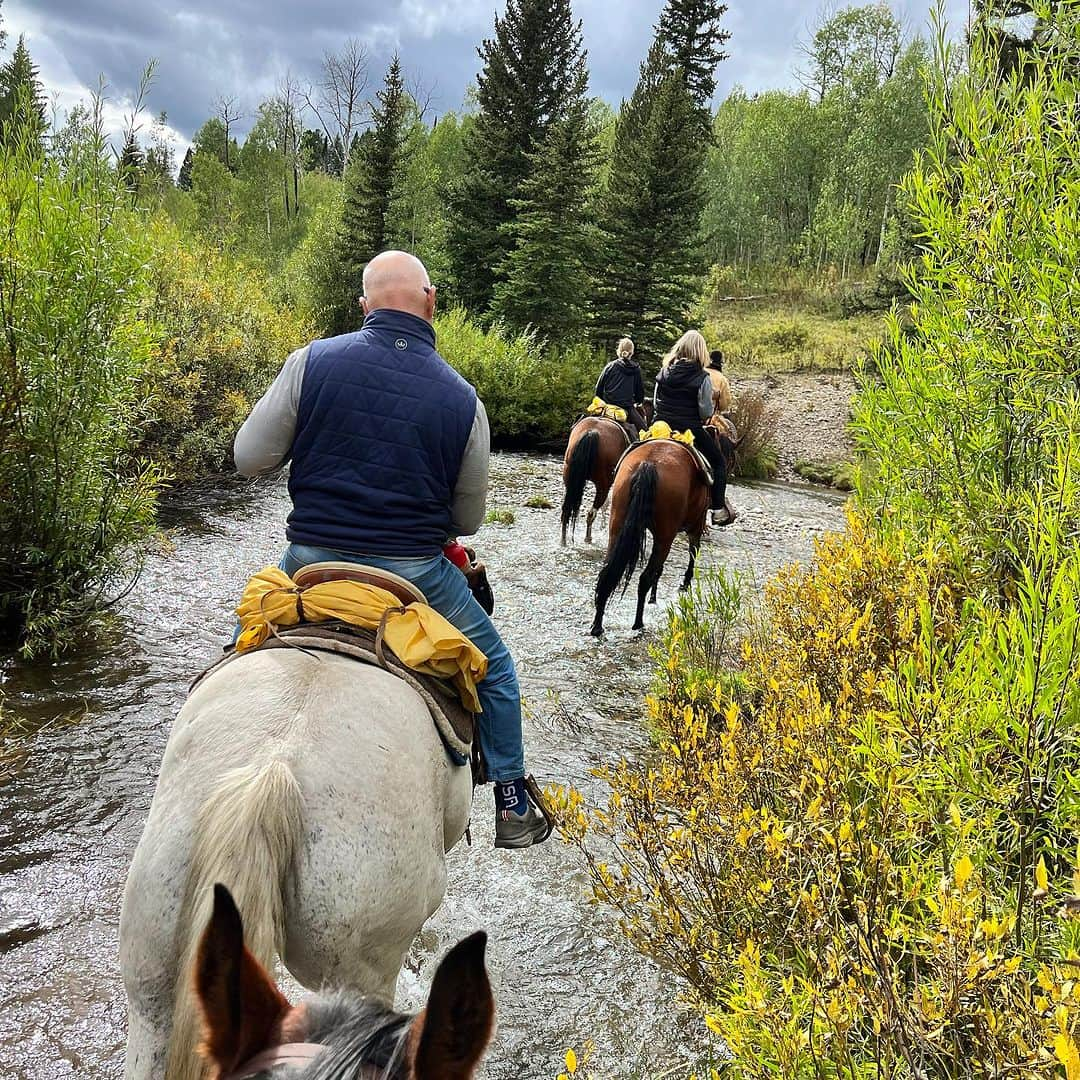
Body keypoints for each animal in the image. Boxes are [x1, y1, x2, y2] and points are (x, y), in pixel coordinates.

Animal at [557, 414, 630, 544]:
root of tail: (591, 433)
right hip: (603, 485)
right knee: (593, 511)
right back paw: (588, 537)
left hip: (569, 478)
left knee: (566, 509)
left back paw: (564, 540)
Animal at [591, 427, 743, 630]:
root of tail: (649, 463)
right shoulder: (696, 525)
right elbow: (693, 553)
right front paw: (684, 585)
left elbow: (661, 568)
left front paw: (654, 598)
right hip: (665, 536)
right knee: (645, 578)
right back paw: (638, 623)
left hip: (618, 527)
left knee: (608, 571)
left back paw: (597, 625)